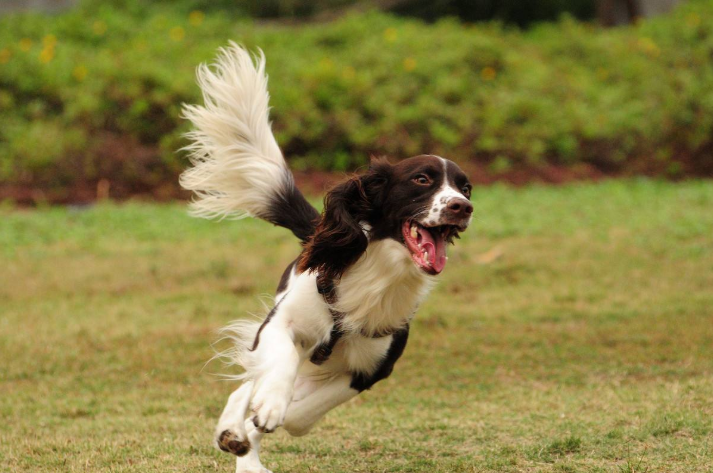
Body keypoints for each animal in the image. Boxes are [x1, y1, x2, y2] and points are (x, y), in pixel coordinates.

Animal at [179, 42, 472, 470]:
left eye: (466, 187)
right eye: (421, 180)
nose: (462, 207)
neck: (376, 272)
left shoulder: (373, 368)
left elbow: (300, 417)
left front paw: (264, 419)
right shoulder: (281, 322)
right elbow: (278, 365)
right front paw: (268, 406)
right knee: (252, 377)